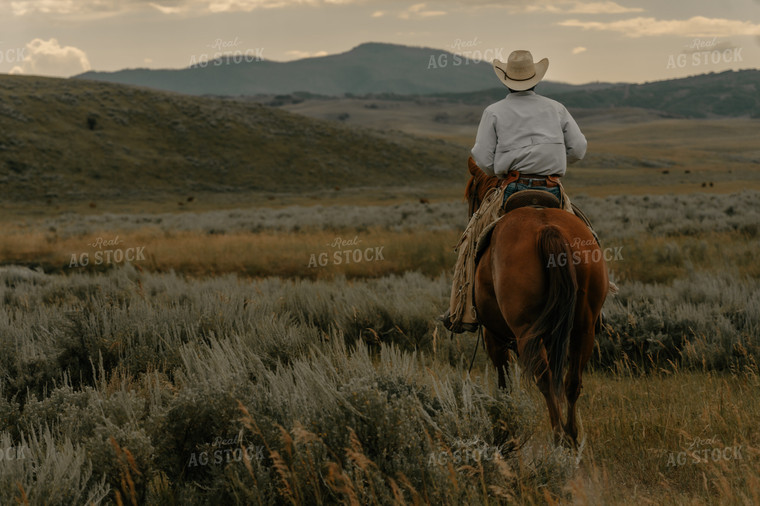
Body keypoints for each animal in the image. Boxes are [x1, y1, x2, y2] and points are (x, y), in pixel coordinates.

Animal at [466, 161, 608, 442]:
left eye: (470, 195)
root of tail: (547, 228)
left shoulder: (493, 336)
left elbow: (504, 382)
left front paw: (504, 429)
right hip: (583, 328)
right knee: (571, 381)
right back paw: (572, 436)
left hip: (526, 332)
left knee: (544, 378)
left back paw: (558, 436)